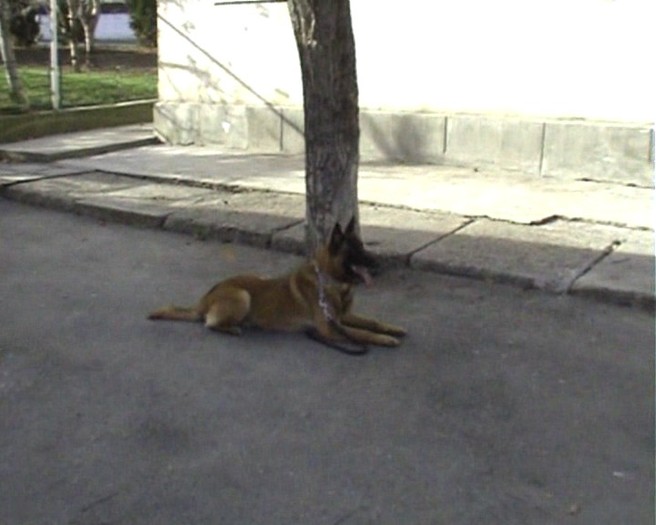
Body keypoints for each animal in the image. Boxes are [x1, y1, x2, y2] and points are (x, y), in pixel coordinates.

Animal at [149, 215, 404, 354]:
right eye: (355, 251)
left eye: (363, 246)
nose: (379, 263)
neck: (330, 281)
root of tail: (203, 301)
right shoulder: (330, 327)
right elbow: (361, 333)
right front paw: (385, 339)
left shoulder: (342, 317)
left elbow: (371, 322)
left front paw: (392, 328)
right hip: (242, 295)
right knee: (210, 323)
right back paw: (233, 328)